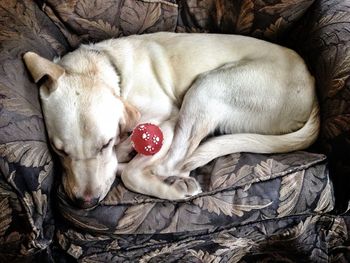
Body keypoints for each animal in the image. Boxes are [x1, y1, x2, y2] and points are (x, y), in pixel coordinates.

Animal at [22, 32, 320, 208]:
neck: (110, 69)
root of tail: (312, 86)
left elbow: (132, 172)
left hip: (207, 87)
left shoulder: (168, 120)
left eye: (104, 144)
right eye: (59, 151)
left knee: (172, 163)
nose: (85, 203)